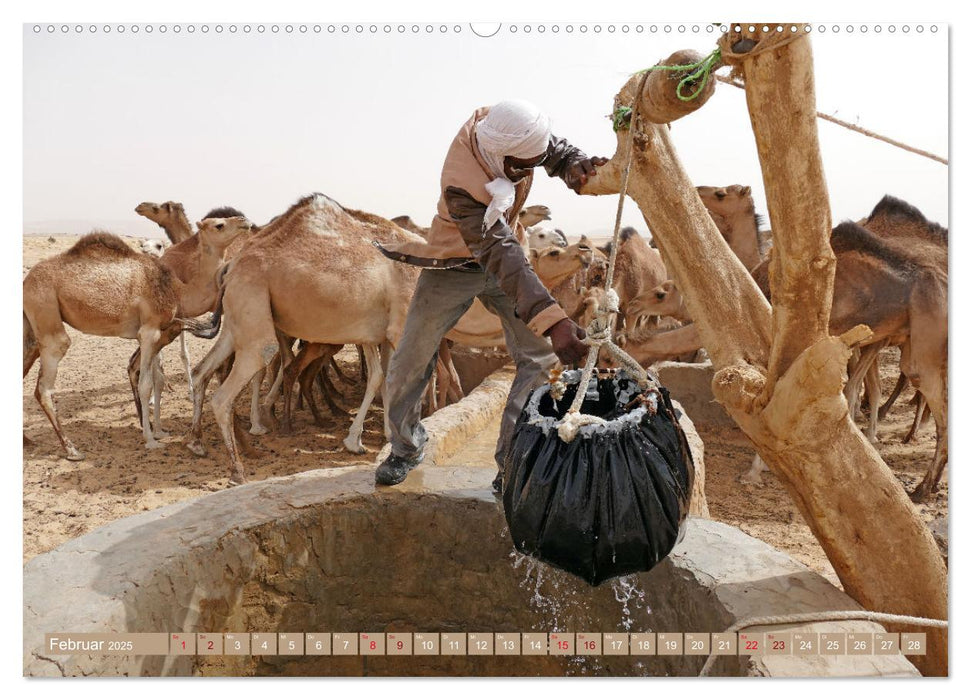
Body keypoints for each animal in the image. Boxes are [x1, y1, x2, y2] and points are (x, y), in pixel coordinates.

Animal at [23, 219, 252, 460]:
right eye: (219, 224)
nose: (245, 222)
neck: (177, 291)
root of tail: (26, 281)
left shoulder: (157, 334)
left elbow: (155, 380)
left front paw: (158, 431)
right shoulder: (149, 332)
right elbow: (146, 384)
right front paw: (150, 440)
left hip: (30, 324)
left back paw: (28, 441)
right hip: (46, 310)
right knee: (46, 382)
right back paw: (72, 449)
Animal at [184, 194, 424, 484]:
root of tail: (230, 268)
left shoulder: (378, 333)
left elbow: (383, 377)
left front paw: (376, 439)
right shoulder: (401, 324)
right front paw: (371, 443)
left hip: (236, 320)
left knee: (201, 371)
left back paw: (198, 443)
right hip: (253, 298)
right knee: (228, 391)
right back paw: (238, 469)